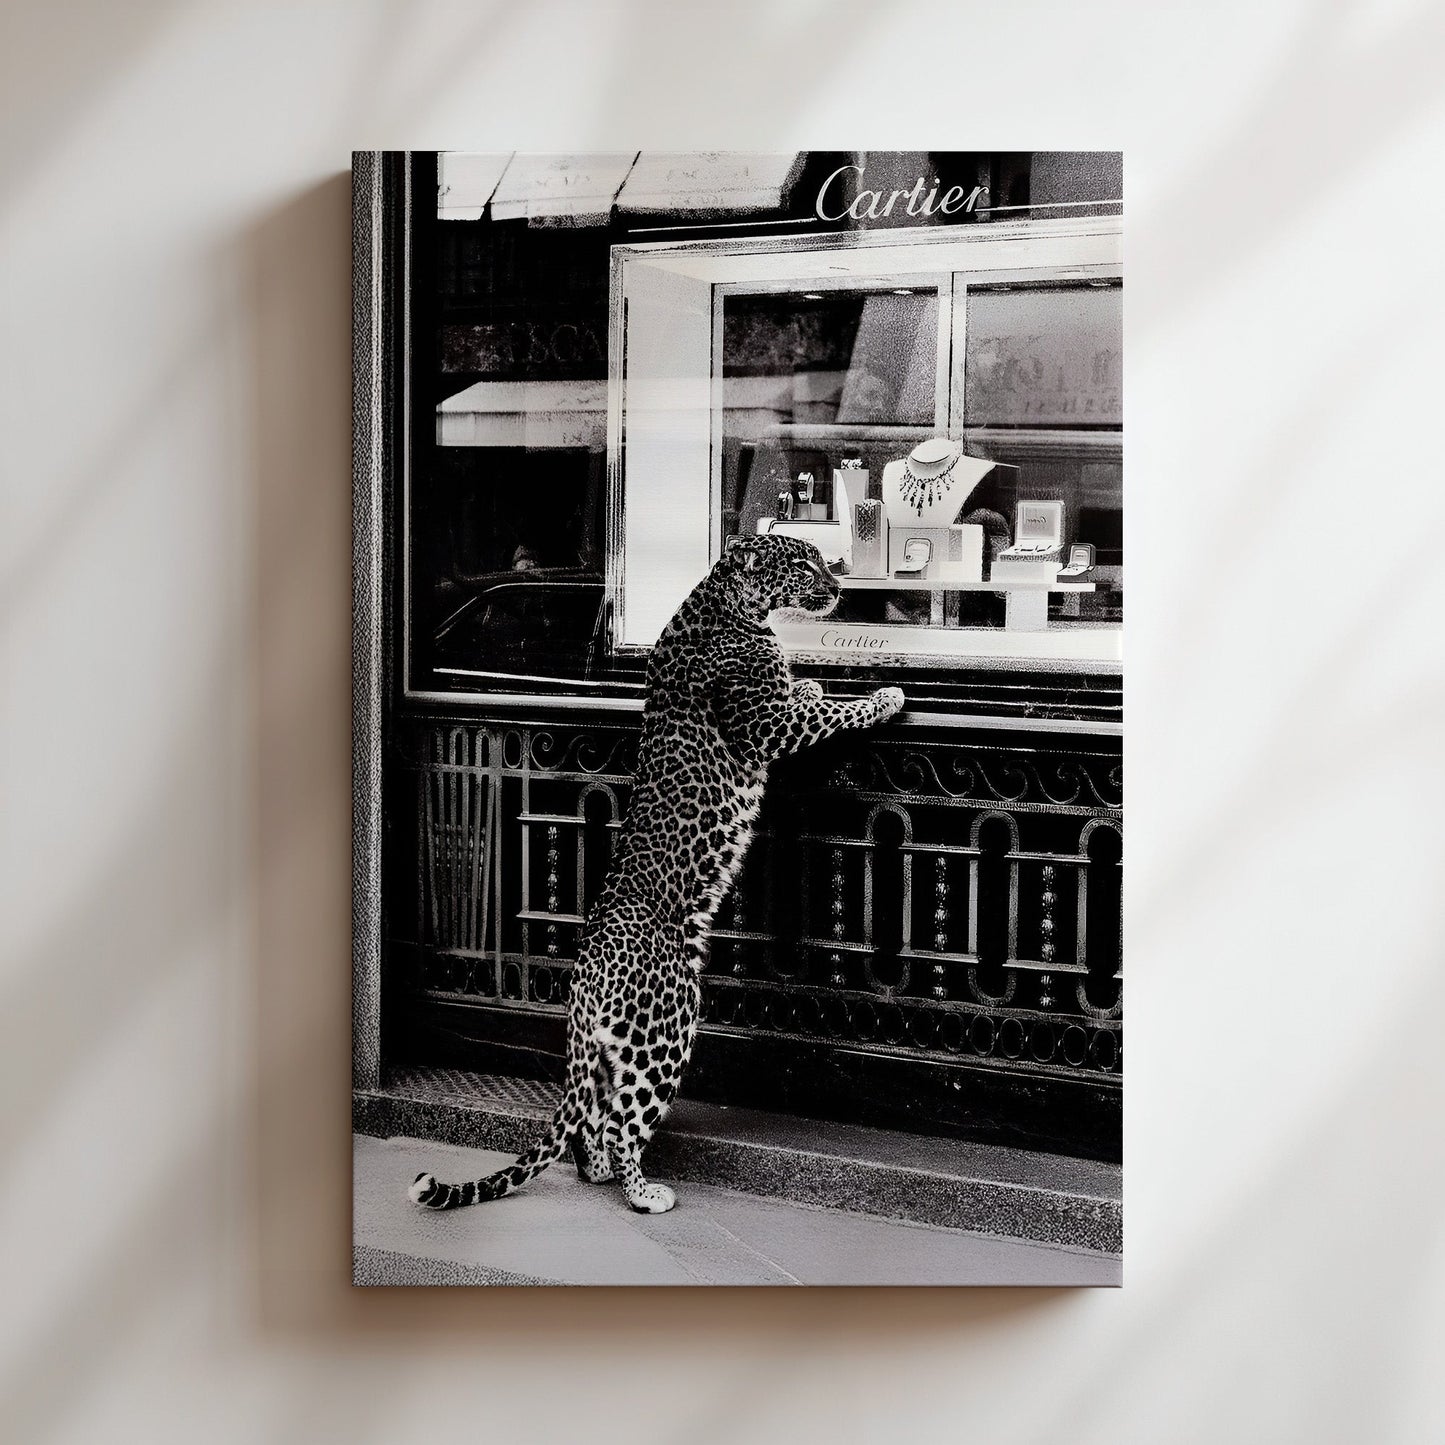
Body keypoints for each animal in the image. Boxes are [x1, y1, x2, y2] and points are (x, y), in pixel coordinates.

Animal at [408, 532, 904, 1215]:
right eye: (804, 564)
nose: (838, 585)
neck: (732, 603)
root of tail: (584, 980)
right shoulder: (767, 726)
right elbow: (833, 713)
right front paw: (881, 699)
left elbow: (803, 696)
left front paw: (807, 680)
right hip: (665, 1032)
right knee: (623, 1121)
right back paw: (644, 1194)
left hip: (610, 1049)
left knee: (594, 1116)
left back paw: (599, 1173)